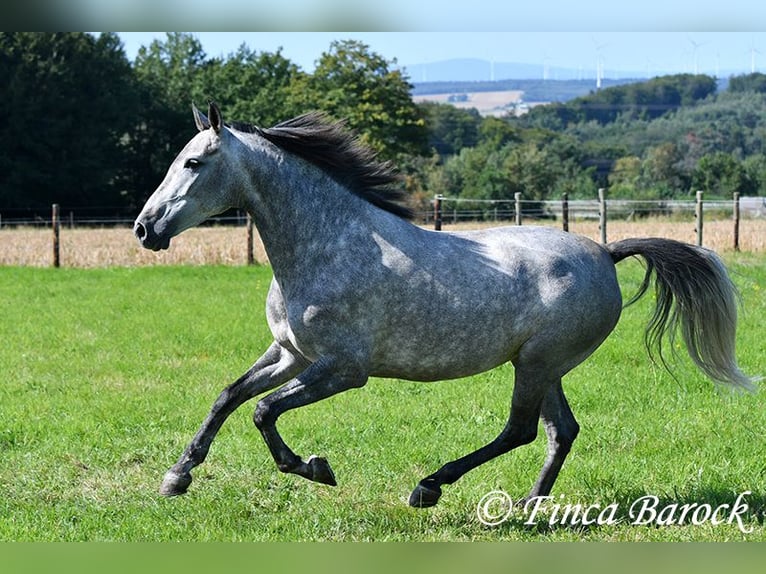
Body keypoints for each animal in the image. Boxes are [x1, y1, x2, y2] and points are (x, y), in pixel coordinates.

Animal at [134, 102, 756, 508]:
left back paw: (430, 487)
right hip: (544, 364)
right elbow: (229, 396)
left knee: (520, 430)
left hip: (536, 363)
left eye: (193, 164)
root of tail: (606, 251)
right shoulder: (291, 354)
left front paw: (314, 468)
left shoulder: (343, 369)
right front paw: (177, 477)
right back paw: (527, 506)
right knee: (561, 432)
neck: (327, 245)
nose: (144, 229)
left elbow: (264, 412)